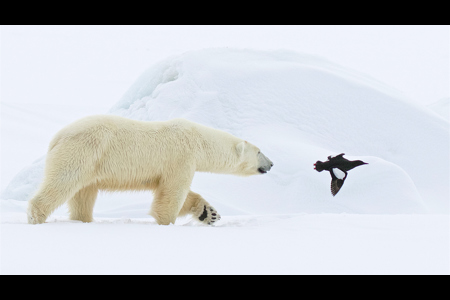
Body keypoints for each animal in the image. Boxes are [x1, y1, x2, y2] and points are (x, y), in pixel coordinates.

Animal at [29, 115, 274, 225]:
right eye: (260, 151)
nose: (271, 164)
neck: (198, 140)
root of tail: (56, 138)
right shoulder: (181, 158)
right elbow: (172, 194)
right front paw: (166, 223)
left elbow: (177, 192)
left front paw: (209, 213)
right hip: (82, 152)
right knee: (62, 182)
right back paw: (36, 216)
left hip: (91, 166)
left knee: (83, 195)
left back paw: (83, 220)